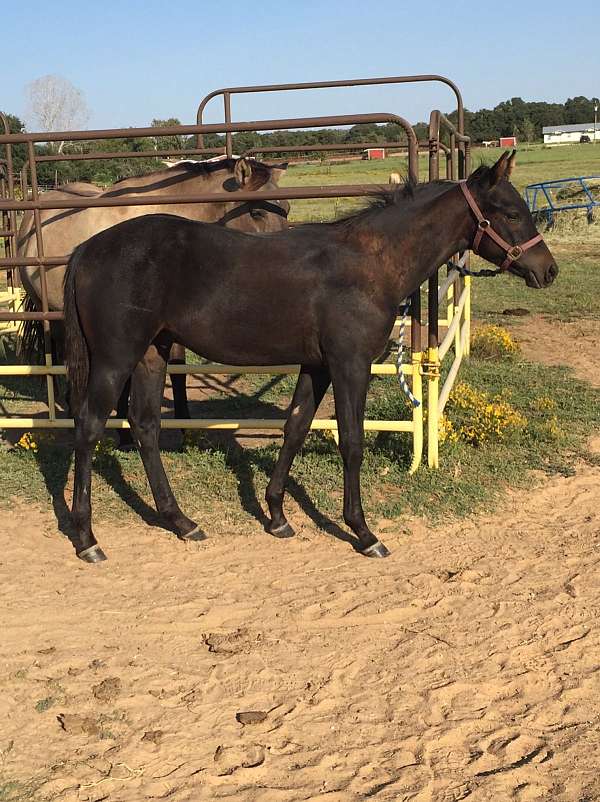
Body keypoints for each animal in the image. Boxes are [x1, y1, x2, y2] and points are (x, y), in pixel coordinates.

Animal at [62, 152, 556, 564]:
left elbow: (296, 428)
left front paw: (278, 516)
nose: (547, 270)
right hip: (115, 359)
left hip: (152, 352)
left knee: (145, 426)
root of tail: (86, 249)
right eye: (511, 213)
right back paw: (87, 539)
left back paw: (181, 522)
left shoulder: (316, 366)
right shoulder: (350, 365)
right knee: (89, 429)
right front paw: (363, 532)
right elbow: (351, 441)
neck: (370, 264)